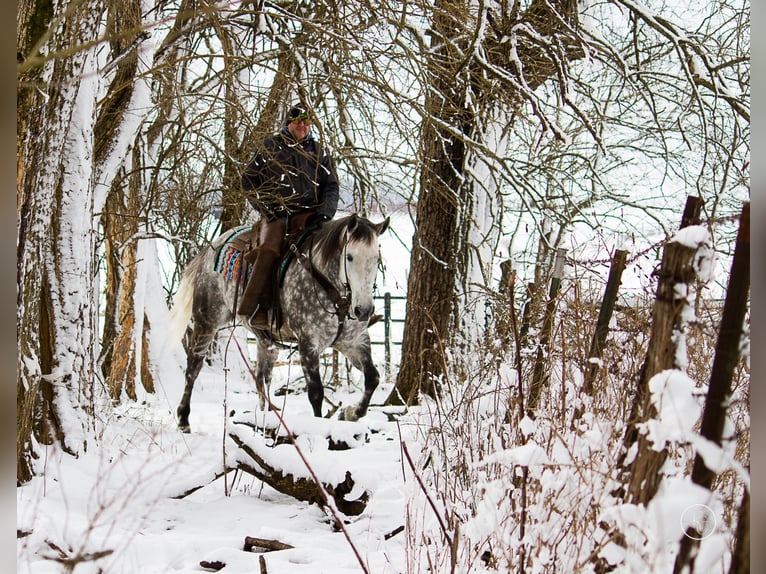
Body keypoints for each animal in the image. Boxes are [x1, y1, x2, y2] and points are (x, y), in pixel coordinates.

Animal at [172, 215, 392, 432]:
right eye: (350, 257)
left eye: (376, 258)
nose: (364, 310)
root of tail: (212, 246)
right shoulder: (308, 344)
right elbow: (316, 393)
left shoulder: (354, 341)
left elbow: (373, 378)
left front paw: (350, 413)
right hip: (207, 321)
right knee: (194, 366)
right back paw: (183, 419)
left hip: (266, 341)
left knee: (262, 378)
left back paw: (264, 420)